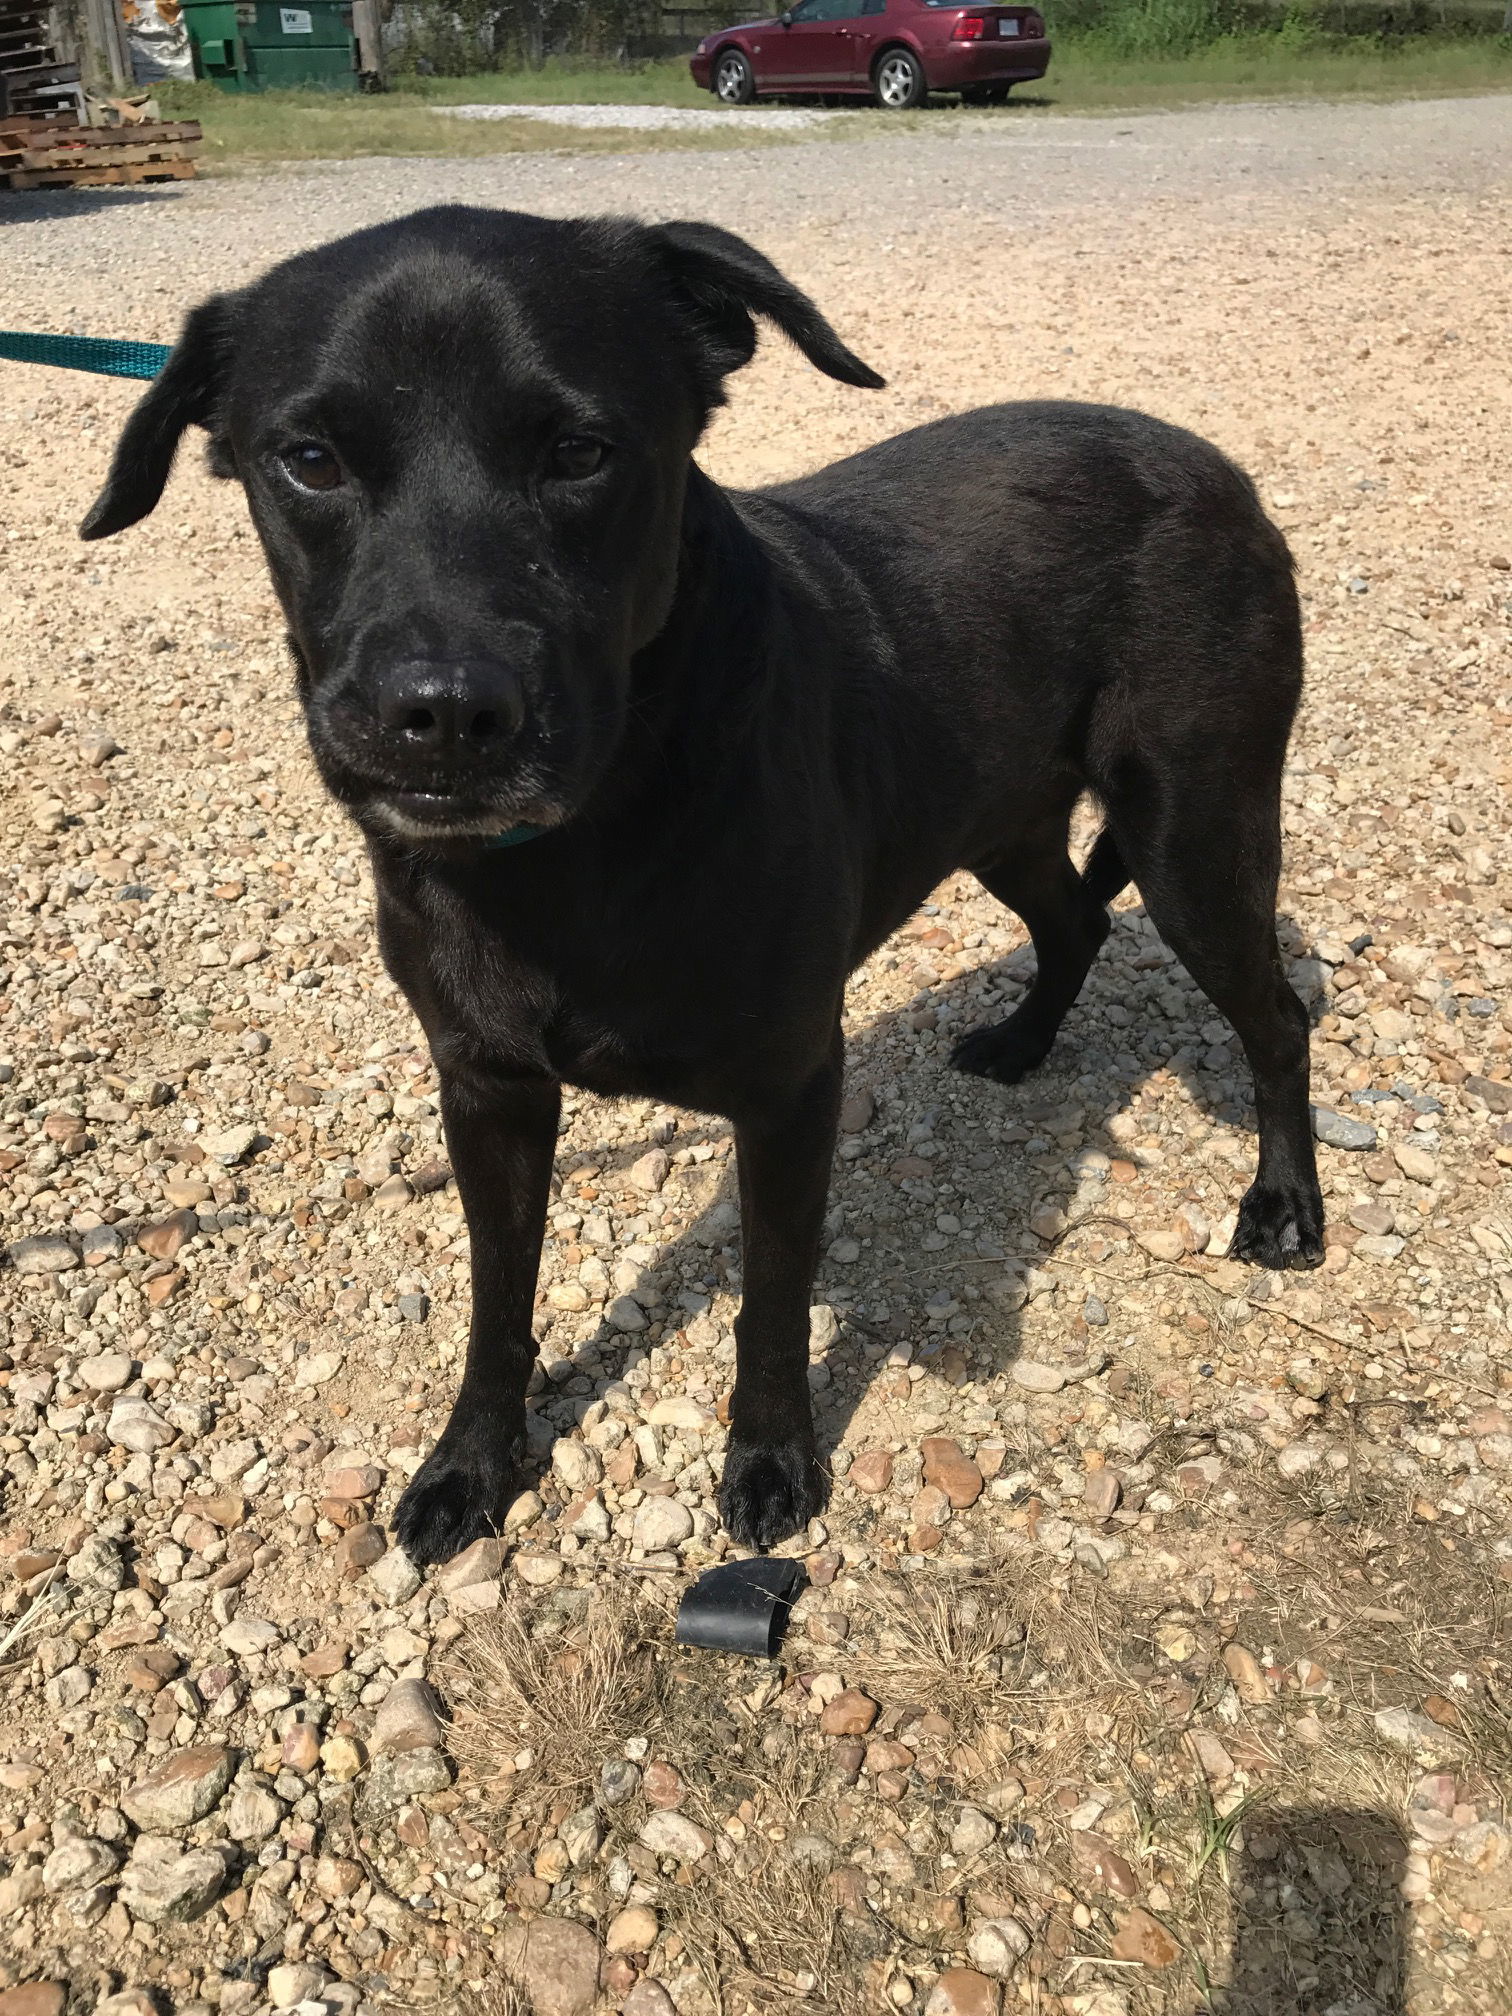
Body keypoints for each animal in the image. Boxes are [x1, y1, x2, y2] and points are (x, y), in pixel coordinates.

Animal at [82, 204, 1322, 1556]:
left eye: (581, 450)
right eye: (308, 459)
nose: (445, 714)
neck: (583, 846)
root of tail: (1206, 460)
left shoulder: (789, 1090)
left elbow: (772, 1299)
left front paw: (771, 1462)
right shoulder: (487, 1088)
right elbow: (497, 1301)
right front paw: (471, 1463)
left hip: (1195, 833)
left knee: (1274, 1016)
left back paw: (1284, 1203)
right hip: (999, 817)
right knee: (1075, 923)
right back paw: (1023, 1044)